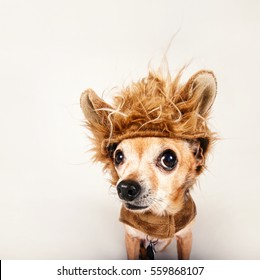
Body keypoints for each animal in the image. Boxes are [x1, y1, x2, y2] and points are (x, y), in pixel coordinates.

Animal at [80, 68, 217, 260]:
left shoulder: (185, 237)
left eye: (169, 159)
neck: (158, 219)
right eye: (118, 157)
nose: (125, 188)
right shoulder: (132, 238)